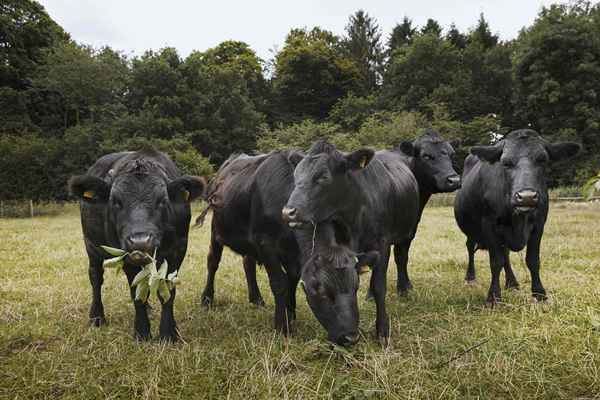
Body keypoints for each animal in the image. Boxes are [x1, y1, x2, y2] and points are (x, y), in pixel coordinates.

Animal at [69, 150, 205, 340]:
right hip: (91, 245)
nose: (140, 240)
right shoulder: (125, 255)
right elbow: (136, 295)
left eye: (162, 200)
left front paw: (169, 333)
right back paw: (97, 317)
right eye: (115, 201)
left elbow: (167, 293)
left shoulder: (178, 249)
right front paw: (142, 332)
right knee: (96, 277)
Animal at [199, 150, 304, 334]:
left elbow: (293, 278)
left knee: (248, 263)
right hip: (216, 228)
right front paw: (282, 325)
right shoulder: (266, 243)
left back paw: (256, 298)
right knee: (212, 261)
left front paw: (290, 316)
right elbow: (279, 282)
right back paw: (207, 298)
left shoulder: (293, 253)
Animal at [284, 141, 420, 340]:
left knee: (401, 258)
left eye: (323, 176)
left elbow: (379, 285)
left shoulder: (382, 243)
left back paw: (404, 289)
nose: (288, 212)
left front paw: (382, 331)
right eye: (296, 176)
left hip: (408, 231)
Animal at [454, 130, 580, 304]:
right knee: (471, 248)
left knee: (505, 255)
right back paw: (470, 277)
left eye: (543, 160)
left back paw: (512, 282)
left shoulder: (539, 225)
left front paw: (539, 293)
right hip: (471, 230)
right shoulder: (489, 224)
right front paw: (494, 297)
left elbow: (532, 260)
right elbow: (496, 262)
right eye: (505, 162)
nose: (526, 197)